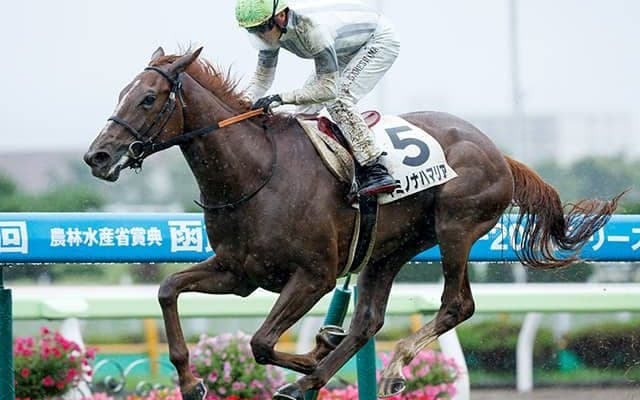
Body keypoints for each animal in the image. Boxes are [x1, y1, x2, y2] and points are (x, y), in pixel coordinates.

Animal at [84, 47, 621, 400]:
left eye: (149, 98)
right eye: (122, 93)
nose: (98, 156)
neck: (256, 171)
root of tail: (499, 153)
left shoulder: (314, 275)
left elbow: (261, 342)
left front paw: (314, 354)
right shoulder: (239, 273)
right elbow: (168, 289)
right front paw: (191, 380)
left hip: (455, 227)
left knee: (457, 304)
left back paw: (370, 369)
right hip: (388, 249)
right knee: (367, 321)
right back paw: (327, 377)